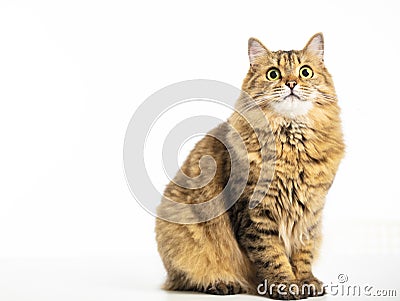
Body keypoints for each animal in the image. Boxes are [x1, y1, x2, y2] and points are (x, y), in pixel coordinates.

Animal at [155, 33, 346, 298]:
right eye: (273, 74)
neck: (291, 145)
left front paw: (305, 281)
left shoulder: (310, 211)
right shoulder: (255, 213)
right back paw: (223, 282)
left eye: (305, 72)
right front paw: (285, 285)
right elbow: (272, 256)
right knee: (188, 278)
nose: (291, 83)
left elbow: (303, 253)